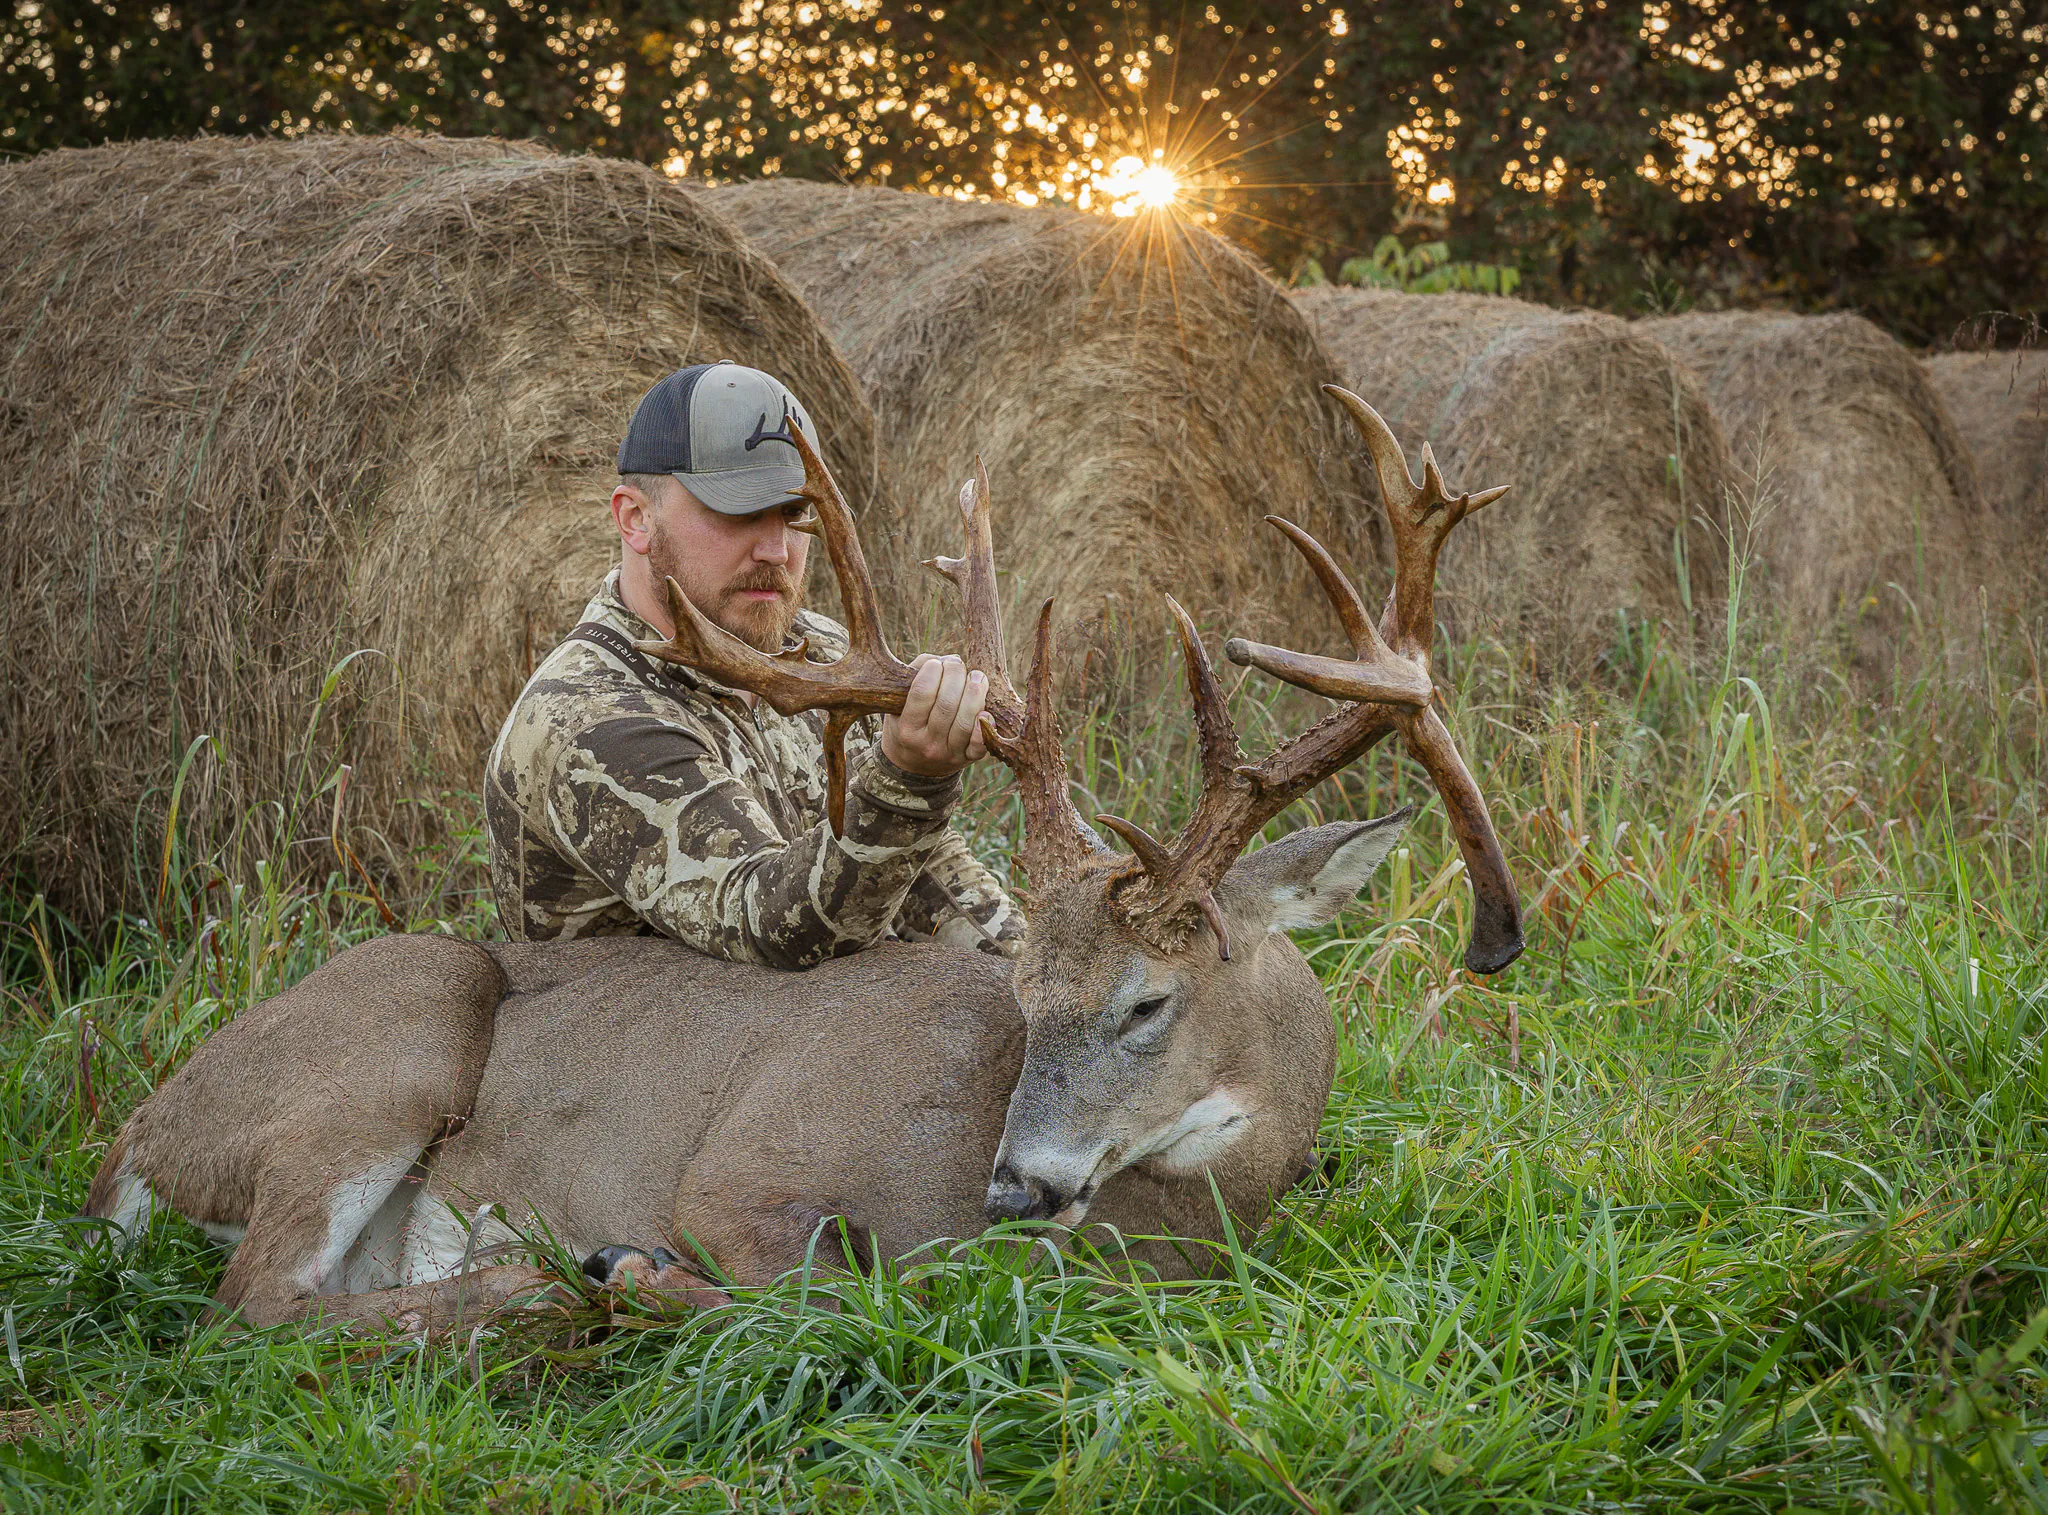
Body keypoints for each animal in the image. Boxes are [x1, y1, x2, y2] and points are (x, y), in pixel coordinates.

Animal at [82, 386, 1523, 1335]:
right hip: (396, 1031)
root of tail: (132, 1144)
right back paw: (533, 1283)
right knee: (251, 1307)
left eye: (1144, 1001)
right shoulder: (740, 1172)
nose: (1014, 1184)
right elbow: (826, 1294)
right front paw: (629, 1269)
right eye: (1021, 1002)